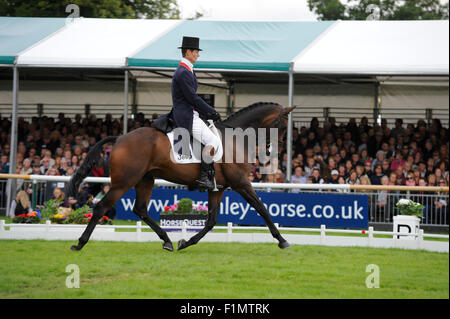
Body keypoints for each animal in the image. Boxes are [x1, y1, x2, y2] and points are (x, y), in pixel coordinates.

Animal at [67, 102, 296, 252]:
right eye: (283, 126)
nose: (276, 151)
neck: (236, 138)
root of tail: (120, 138)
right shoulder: (241, 183)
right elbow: (262, 208)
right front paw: (282, 240)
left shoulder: (219, 188)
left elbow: (211, 220)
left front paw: (185, 242)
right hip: (123, 182)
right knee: (101, 207)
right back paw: (79, 243)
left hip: (145, 179)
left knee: (140, 209)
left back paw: (167, 241)